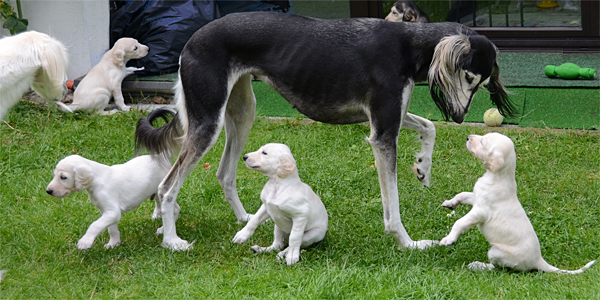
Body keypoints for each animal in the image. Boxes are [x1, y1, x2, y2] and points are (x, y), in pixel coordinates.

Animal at [45, 155, 175, 251]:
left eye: (63, 177)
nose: (48, 191)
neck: (96, 180)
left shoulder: (113, 212)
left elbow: (95, 225)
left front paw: (85, 241)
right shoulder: (107, 212)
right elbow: (111, 229)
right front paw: (114, 243)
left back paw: (163, 229)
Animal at [135, 11, 516, 251]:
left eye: (481, 83)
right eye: (468, 76)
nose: (459, 117)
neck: (410, 45)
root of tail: (191, 40)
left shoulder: (383, 119)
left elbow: (429, 127)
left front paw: (423, 166)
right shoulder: (382, 134)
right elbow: (392, 207)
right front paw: (408, 243)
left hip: (240, 113)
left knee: (224, 172)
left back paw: (244, 221)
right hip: (208, 121)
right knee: (167, 187)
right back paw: (172, 241)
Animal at [440, 132, 596, 274]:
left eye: (482, 142)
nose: (468, 137)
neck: (498, 177)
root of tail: (538, 260)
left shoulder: (480, 211)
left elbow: (459, 222)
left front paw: (449, 239)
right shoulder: (476, 198)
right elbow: (462, 194)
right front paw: (450, 203)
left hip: (496, 252)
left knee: (497, 268)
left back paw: (478, 266)